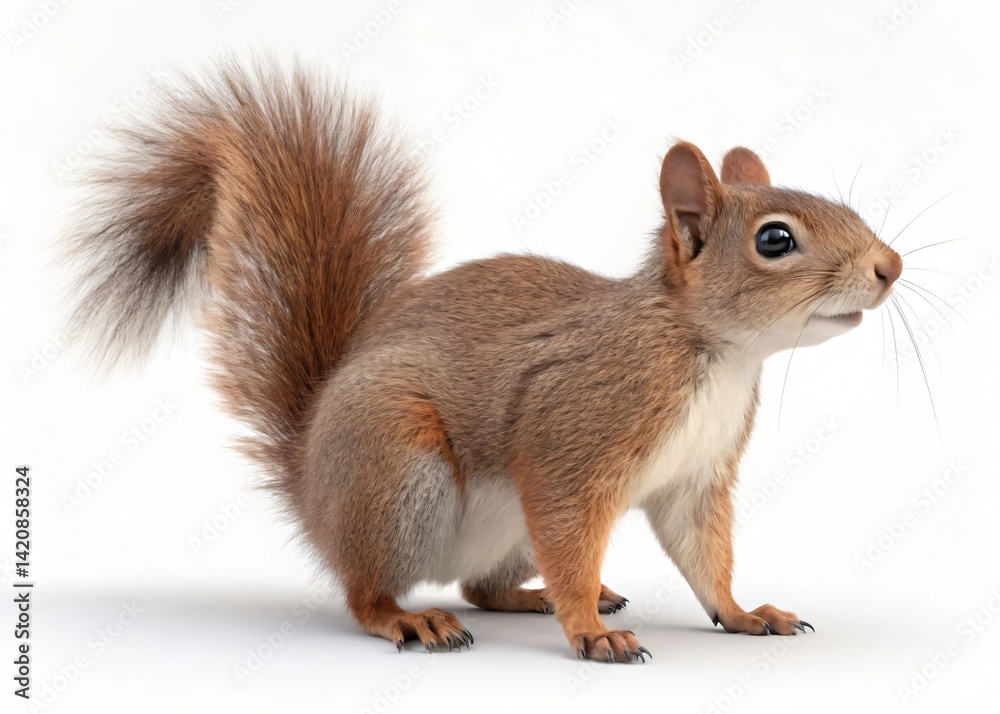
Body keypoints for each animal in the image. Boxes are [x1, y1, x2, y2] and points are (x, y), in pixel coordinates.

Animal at [63, 57, 903, 663]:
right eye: (775, 240)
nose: (890, 266)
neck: (716, 355)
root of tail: (311, 485)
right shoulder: (573, 441)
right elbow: (571, 526)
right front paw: (590, 634)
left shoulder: (697, 479)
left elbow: (706, 556)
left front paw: (744, 613)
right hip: (396, 467)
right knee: (366, 589)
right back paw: (413, 619)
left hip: (501, 529)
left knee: (477, 585)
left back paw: (544, 596)